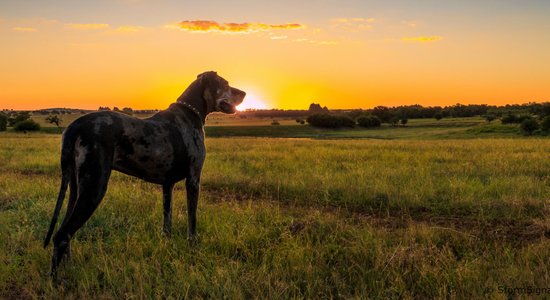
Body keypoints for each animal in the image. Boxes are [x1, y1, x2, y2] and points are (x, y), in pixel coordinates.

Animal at [44, 71, 247, 274]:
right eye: (224, 83)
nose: (244, 93)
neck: (190, 112)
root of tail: (73, 127)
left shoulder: (167, 185)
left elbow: (167, 222)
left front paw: (167, 246)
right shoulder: (193, 179)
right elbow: (192, 220)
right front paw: (193, 248)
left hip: (75, 187)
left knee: (65, 232)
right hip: (94, 186)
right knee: (62, 235)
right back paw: (57, 278)